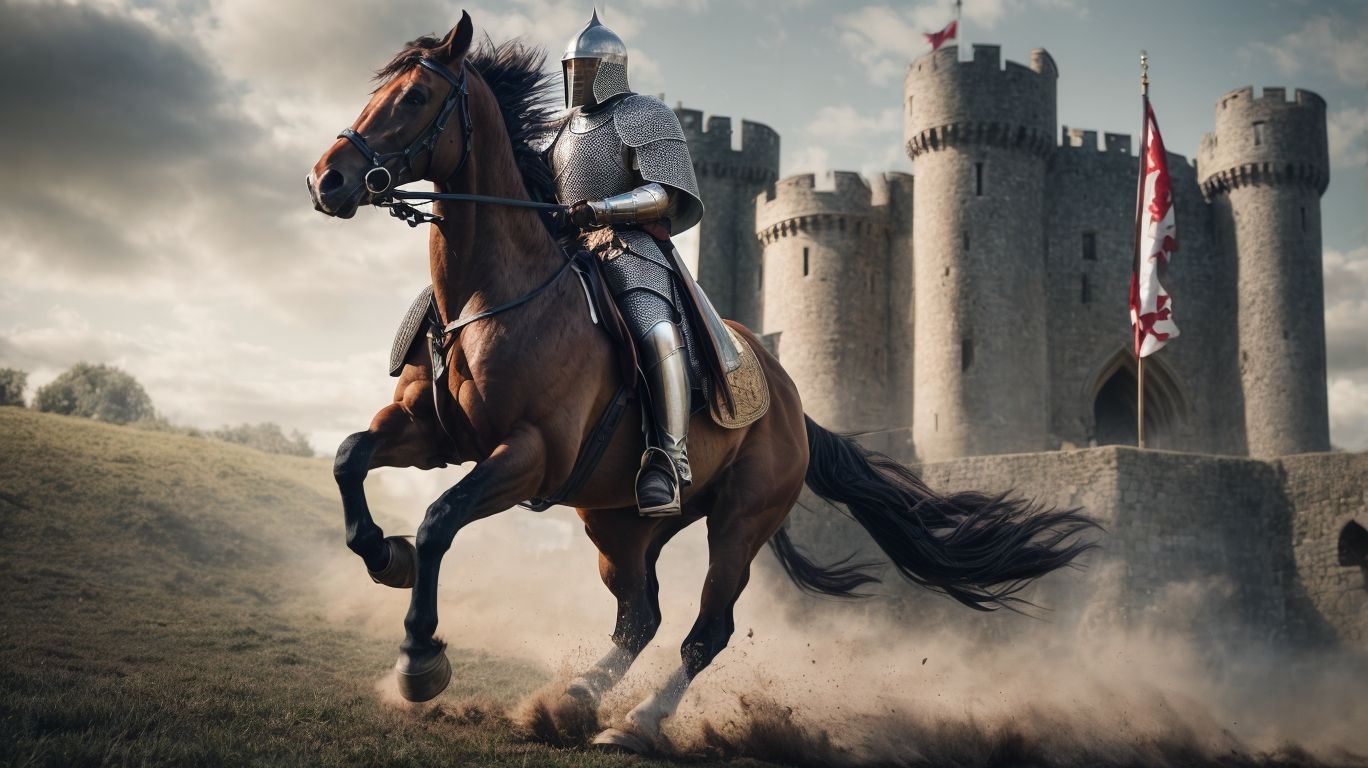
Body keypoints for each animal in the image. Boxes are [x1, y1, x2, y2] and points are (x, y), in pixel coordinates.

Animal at [306, 12, 1097, 753]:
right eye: (376, 90)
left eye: (414, 96)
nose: (326, 180)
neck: (493, 296)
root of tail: (791, 404)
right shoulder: (432, 433)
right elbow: (349, 458)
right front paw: (384, 556)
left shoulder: (529, 454)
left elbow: (439, 519)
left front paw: (420, 656)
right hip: (617, 521)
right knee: (638, 618)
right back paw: (574, 699)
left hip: (740, 521)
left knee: (704, 629)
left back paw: (635, 722)